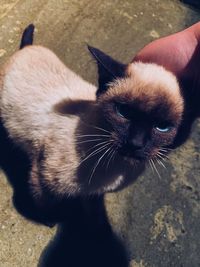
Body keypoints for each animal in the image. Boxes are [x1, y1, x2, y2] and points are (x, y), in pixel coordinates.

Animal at [0, 24, 194, 224]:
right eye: (123, 112)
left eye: (162, 127)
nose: (135, 143)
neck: (118, 167)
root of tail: (28, 48)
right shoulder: (42, 177)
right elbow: (45, 205)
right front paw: (51, 220)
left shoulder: (92, 193)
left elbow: (92, 206)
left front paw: (92, 220)